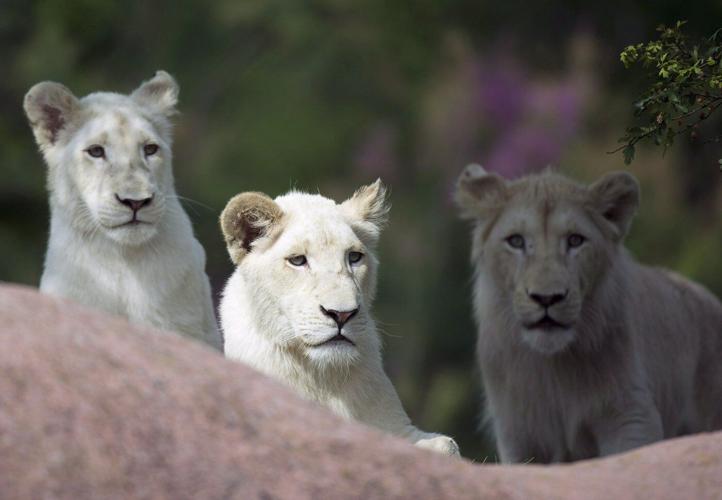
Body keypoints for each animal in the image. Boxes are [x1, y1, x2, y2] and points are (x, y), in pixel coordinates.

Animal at [218, 180, 460, 456]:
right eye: (297, 260)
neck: (324, 377)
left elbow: (441, 446)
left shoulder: (397, 427)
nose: (342, 314)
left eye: (354, 257)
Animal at [455, 164, 722, 463]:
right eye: (516, 241)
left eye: (575, 240)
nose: (547, 298)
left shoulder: (629, 416)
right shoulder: (519, 434)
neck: (553, 367)